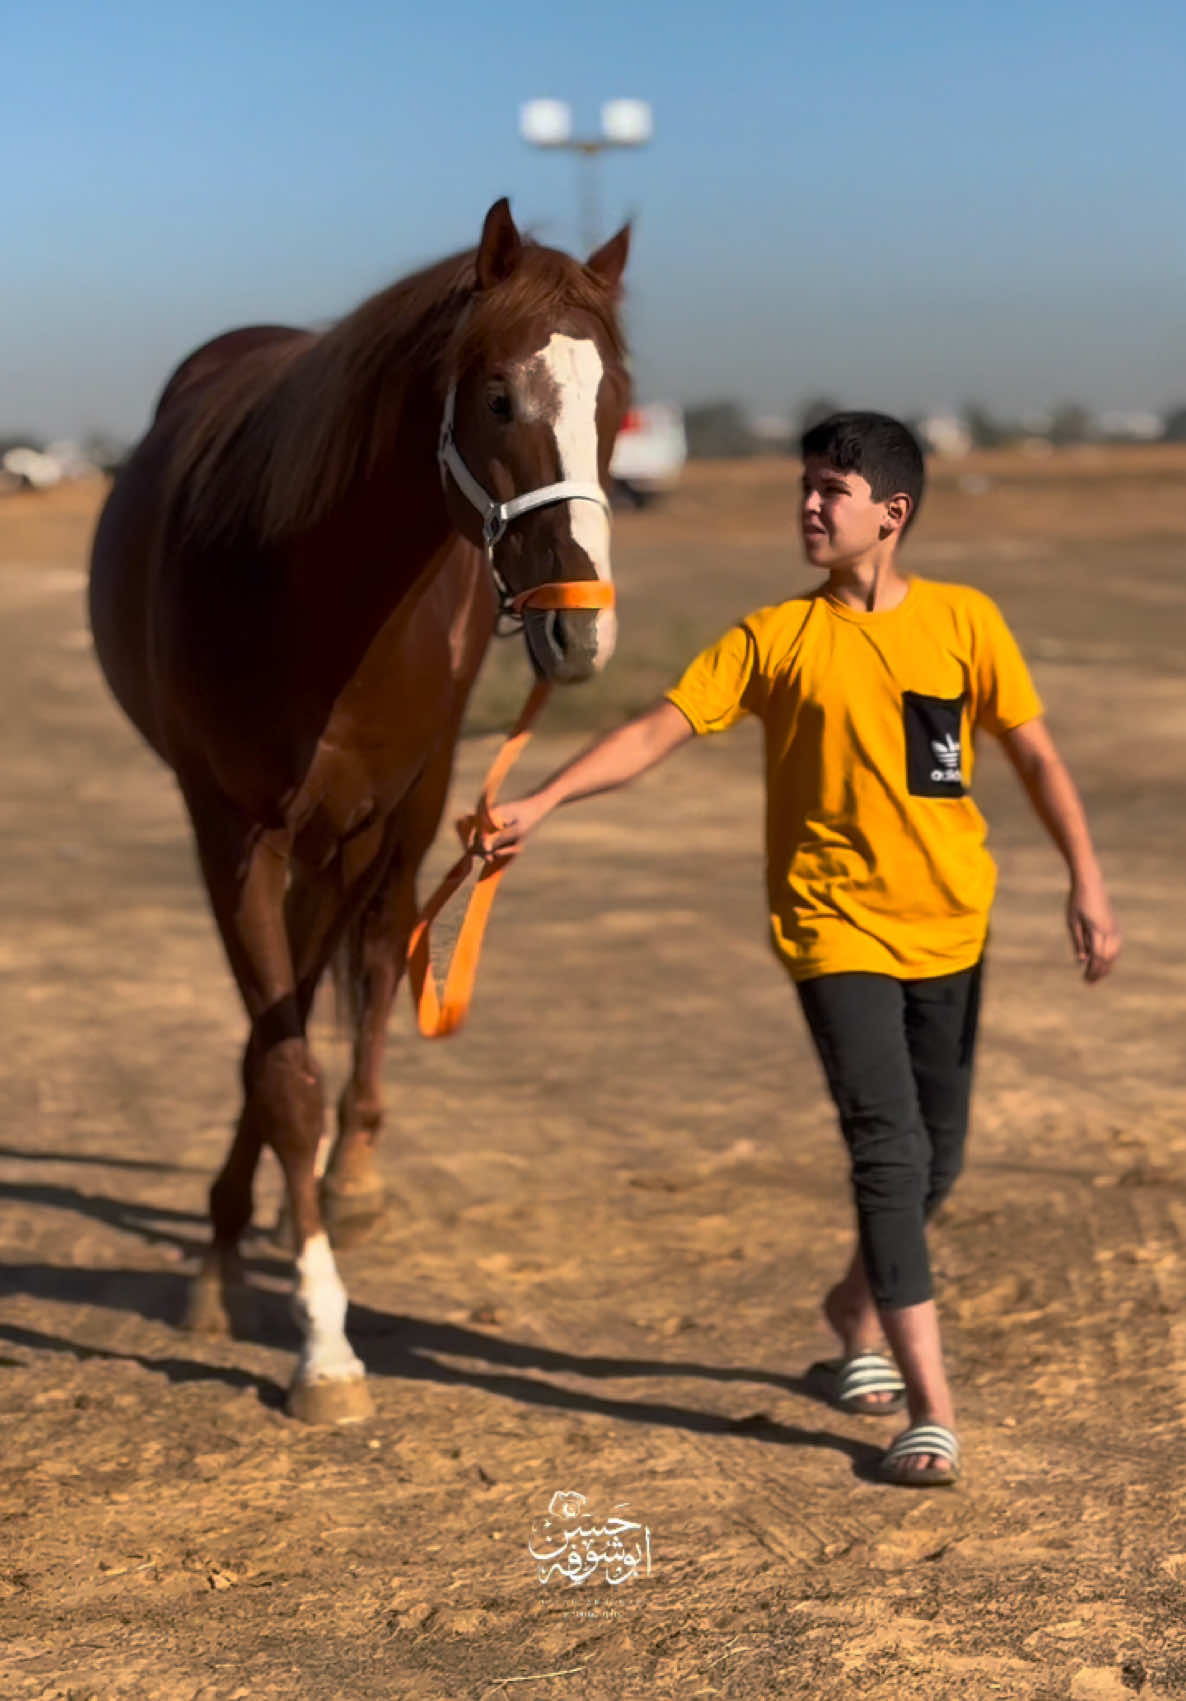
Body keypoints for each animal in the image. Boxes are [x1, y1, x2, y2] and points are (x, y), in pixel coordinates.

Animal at [88, 199, 629, 1422]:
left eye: (615, 401)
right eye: (497, 397)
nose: (580, 629)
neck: (305, 588)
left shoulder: (373, 822)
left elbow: (309, 1019)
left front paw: (310, 1251)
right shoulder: (235, 834)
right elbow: (280, 1064)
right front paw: (308, 1333)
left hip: (402, 819)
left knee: (378, 965)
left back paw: (352, 1179)